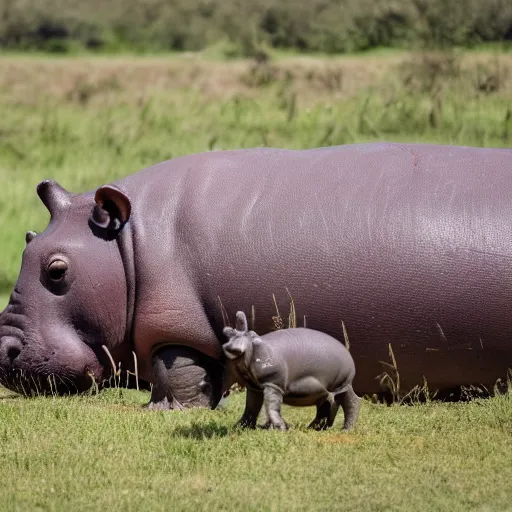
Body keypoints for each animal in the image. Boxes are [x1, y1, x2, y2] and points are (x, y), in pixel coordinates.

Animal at [223, 310, 360, 430]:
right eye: (227, 331)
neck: (251, 347)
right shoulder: (254, 387)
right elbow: (251, 407)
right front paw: (240, 427)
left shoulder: (273, 383)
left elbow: (271, 405)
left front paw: (280, 428)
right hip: (336, 387)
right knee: (333, 403)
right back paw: (314, 428)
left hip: (340, 385)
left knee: (347, 402)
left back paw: (345, 430)